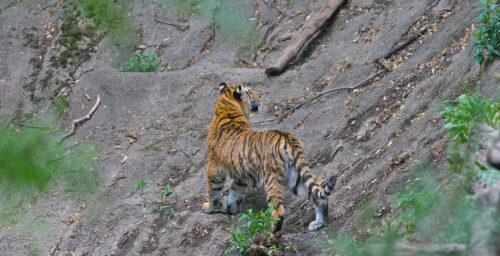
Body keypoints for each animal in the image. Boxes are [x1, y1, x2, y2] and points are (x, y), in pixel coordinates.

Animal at [202, 83, 336, 231]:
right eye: (250, 91)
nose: (260, 96)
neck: (227, 107)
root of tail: (287, 137)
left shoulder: (214, 169)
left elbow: (213, 191)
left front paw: (210, 208)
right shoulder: (240, 176)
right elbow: (234, 192)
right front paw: (229, 208)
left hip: (271, 177)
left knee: (278, 210)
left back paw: (270, 232)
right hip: (295, 177)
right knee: (317, 197)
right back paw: (319, 223)